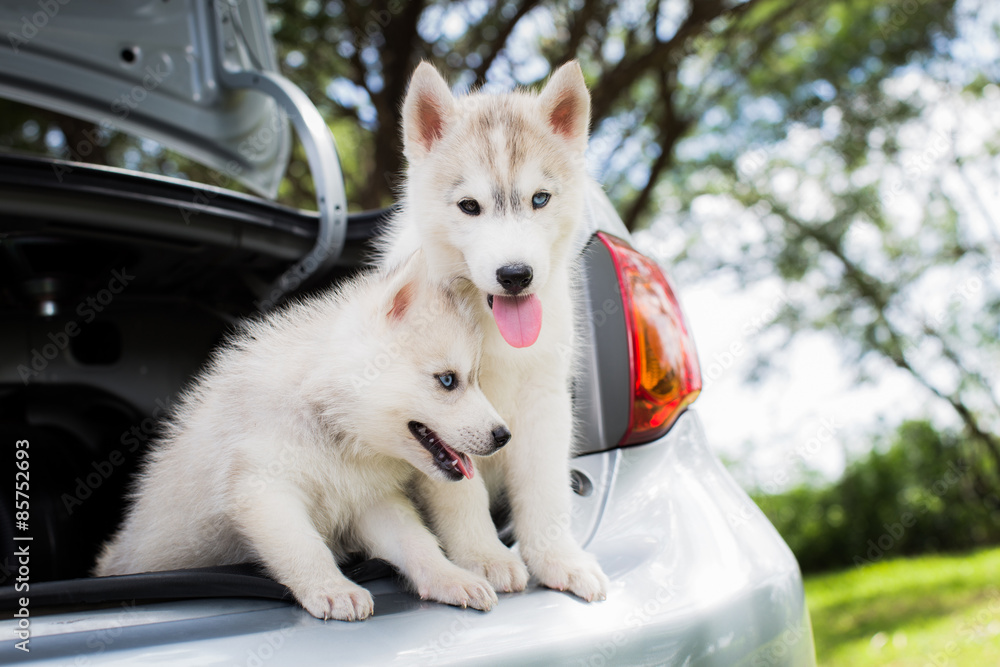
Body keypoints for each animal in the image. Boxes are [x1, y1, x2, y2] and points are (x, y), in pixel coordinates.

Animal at [94, 252, 512, 620]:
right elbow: (304, 546)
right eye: (448, 380)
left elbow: (417, 542)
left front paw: (450, 577)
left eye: (476, 378)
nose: (504, 435)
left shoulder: (371, 503)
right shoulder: (264, 491)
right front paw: (332, 588)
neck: (336, 432)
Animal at [380, 62, 608, 604]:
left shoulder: (544, 401)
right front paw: (484, 559)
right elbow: (460, 492)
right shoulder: (437, 416)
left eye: (540, 199)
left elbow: (546, 491)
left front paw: (559, 560)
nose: (516, 275)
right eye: (469, 206)